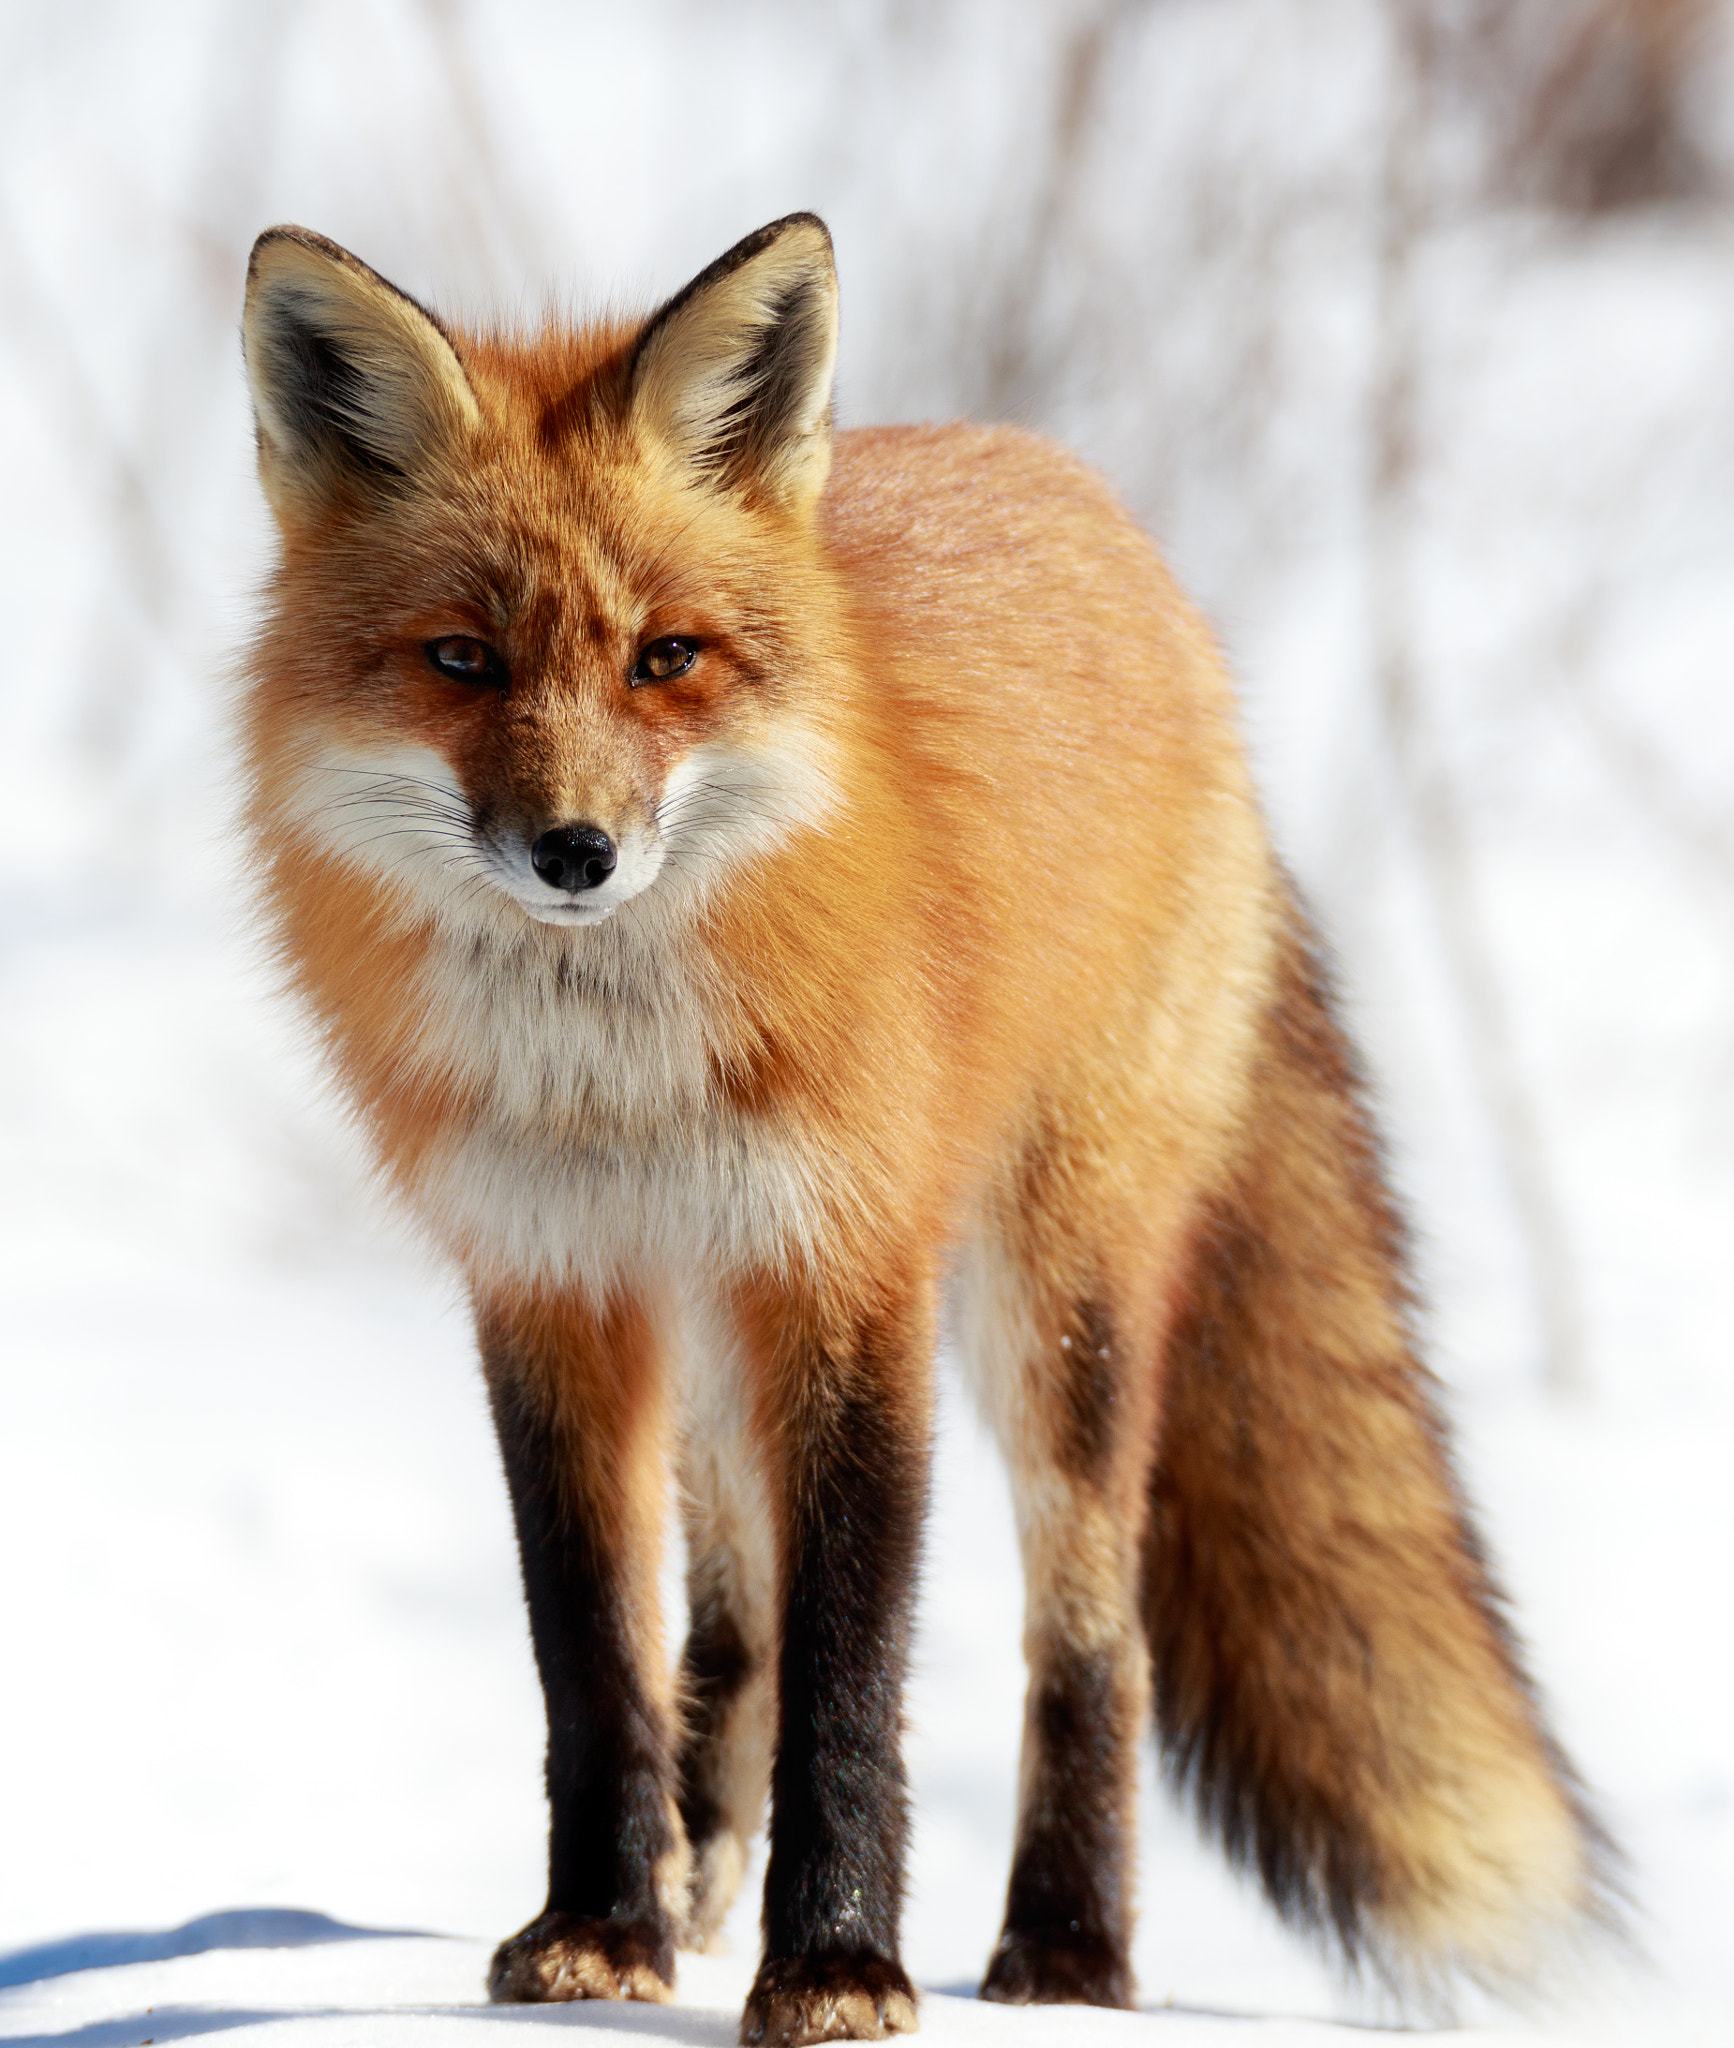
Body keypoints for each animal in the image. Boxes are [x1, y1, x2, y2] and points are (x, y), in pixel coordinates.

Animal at [237, 213, 1613, 2046]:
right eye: (462, 660)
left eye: (664, 657)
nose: (575, 852)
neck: (617, 1075)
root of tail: (1102, 520)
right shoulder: (554, 1284)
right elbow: (594, 1655)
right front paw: (601, 1926)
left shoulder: (850, 1274)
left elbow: (853, 1670)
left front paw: (835, 1966)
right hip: (716, 1317)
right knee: (727, 1621)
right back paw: (695, 1874)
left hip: (1053, 1308)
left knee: (1092, 1638)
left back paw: (1066, 1953)